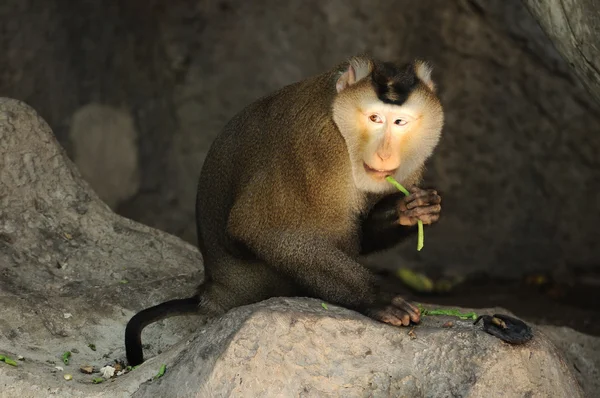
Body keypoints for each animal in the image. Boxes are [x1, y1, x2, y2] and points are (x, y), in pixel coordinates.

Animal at [125, 54, 446, 366]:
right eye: (375, 118)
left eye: (400, 122)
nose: (384, 154)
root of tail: (217, 290)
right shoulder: (318, 149)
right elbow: (262, 230)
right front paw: (377, 298)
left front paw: (413, 209)